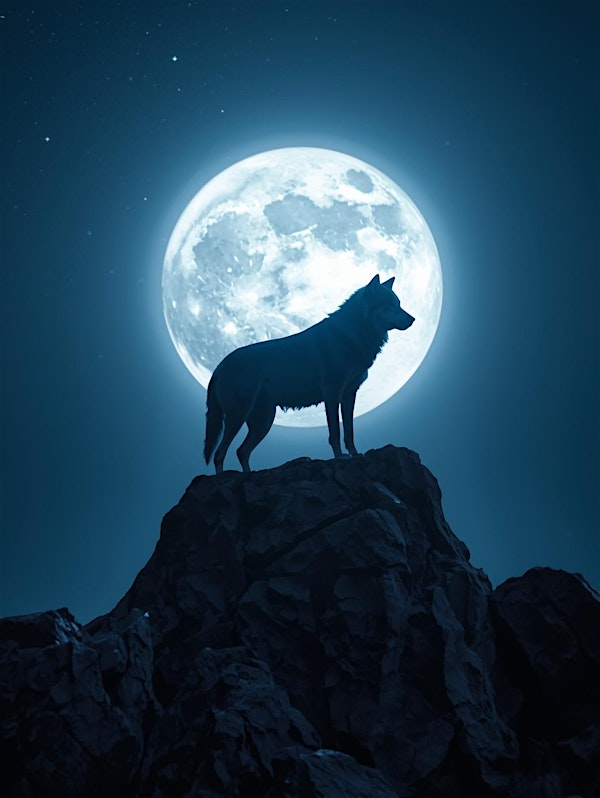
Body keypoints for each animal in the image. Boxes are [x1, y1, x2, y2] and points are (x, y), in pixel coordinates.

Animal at [204, 274, 414, 473]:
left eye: (399, 304)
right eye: (389, 305)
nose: (412, 319)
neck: (350, 336)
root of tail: (219, 367)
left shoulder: (349, 394)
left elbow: (349, 430)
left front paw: (355, 454)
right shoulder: (332, 393)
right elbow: (335, 431)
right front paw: (340, 457)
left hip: (263, 421)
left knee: (241, 451)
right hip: (239, 416)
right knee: (219, 454)